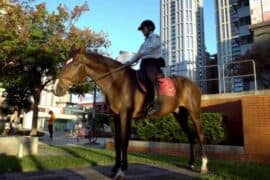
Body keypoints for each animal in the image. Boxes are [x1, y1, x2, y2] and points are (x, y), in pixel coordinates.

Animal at [53, 48, 208, 178]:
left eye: (75, 64)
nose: (58, 89)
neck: (117, 82)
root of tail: (193, 84)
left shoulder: (125, 116)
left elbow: (124, 142)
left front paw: (121, 170)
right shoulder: (115, 117)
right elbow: (117, 143)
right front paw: (115, 169)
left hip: (194, 113)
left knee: (200, 134)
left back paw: (203, 166)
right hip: (180, 115)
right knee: (191, 136)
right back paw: (191, 163)